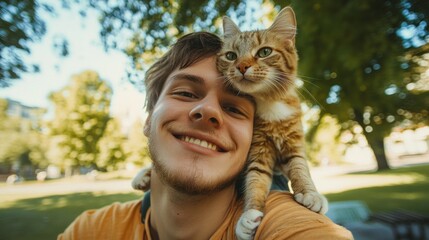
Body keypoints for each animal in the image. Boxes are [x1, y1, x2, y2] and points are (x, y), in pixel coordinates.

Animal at [217, 6, 328, 239]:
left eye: (264, 52)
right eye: (231, 56)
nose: (241, 67)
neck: (269, 102)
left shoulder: (293, 145)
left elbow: (300, 169)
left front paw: (310, 193)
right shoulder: (258, 152)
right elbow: (255, 182)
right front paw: (248, 215)